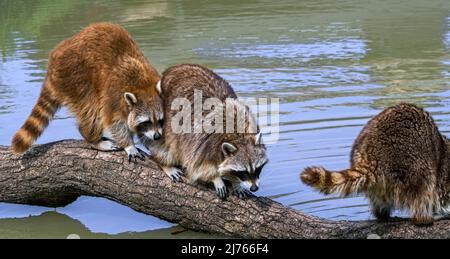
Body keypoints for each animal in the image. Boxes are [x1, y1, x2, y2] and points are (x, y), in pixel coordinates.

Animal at [11, 22, 163, 162]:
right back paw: (93, 139)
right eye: (146, 122)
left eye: (161, 120)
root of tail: (53, 63)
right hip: (76, 77)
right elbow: (114, 122)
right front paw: (129, 145)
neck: (144, 87)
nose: (157, 137)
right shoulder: (114, 95)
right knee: (92, 111)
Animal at [143, 64, 268, 199]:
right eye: (243, 172)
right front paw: (216, 178)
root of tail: (175, 68)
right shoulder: (202, 140)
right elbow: (197, 166)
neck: (238, 137)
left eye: (258, 169)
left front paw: (235, 183)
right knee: (165, 145)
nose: (254, 188)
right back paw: (165, 163)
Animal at [300, 103, 450, 225]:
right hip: (413, 163)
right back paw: (424, 218)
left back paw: (382, 215)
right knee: (424, 190)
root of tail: (372, 158)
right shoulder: (443, 178)